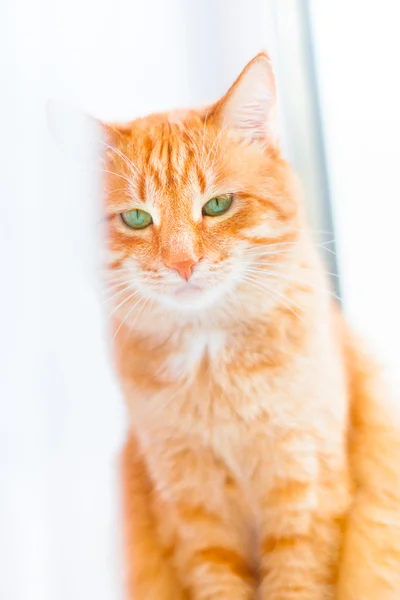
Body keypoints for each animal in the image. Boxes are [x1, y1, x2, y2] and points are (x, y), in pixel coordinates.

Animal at [103, 54, 400, 596]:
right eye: (136, 218)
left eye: (217, 205)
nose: (183, 263)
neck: (212, 371)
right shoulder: (194, 512)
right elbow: (217, 579)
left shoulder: (304, 491)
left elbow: (296, 580)